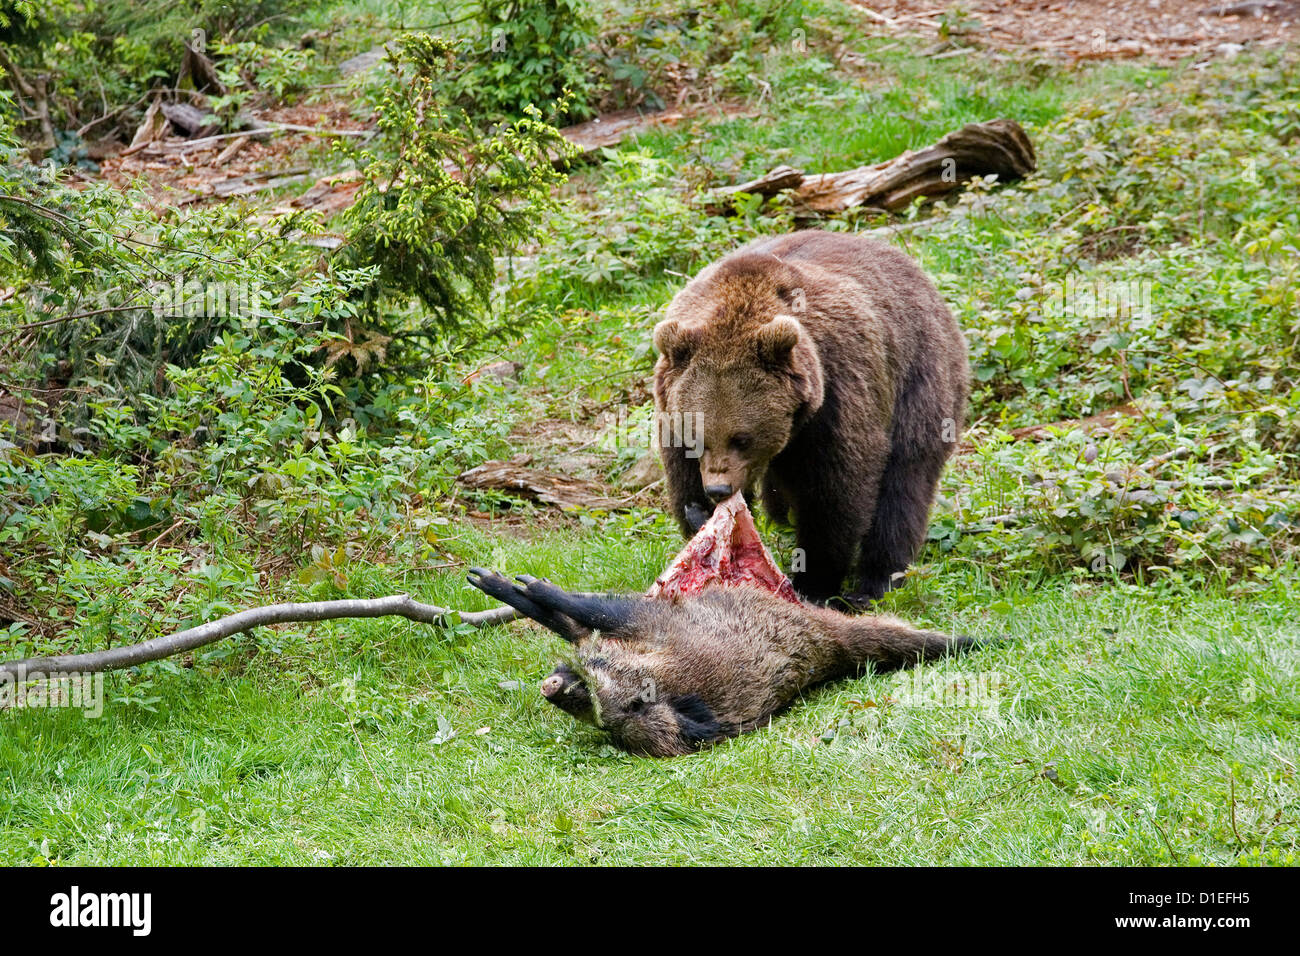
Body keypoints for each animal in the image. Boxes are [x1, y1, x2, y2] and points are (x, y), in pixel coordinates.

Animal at [650, 230, 967, 606]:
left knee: (904, 484)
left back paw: (876, 583)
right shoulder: (670, 408)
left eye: (742, 438)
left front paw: (815, 581)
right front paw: (701, 518)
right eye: (697, 437)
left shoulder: (836, 389)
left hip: (918, 375)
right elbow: (683, 478)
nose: (718, 488)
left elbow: (837, 492)